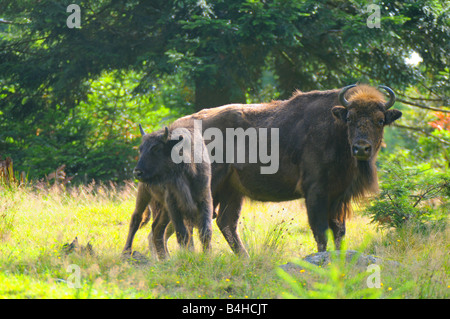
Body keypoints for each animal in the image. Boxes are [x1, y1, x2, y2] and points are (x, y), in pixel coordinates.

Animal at [122, 125, 214, 260]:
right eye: (140, 149)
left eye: (156, 148)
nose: (137, 172)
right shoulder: (173, 203)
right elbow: (182, 233)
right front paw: (185, 255)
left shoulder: (204, 199)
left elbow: (205, 231)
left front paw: (207, 256)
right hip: (144, 194)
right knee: (136, 218)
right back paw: (126, 252)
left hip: (163, 208)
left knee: (156, 228)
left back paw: (164, 258)